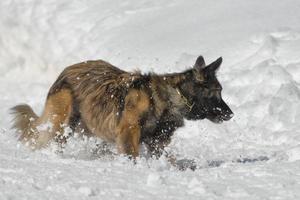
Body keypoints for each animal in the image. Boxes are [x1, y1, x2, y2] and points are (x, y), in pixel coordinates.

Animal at [11, 55, 232, 161]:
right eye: (218, 91)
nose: (231, 114)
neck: (171, 97)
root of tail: (65, 71)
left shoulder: (157, 142)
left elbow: (169, 160)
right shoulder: (129, 131)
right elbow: (132, 155)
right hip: (62, 119)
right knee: (50, 139)